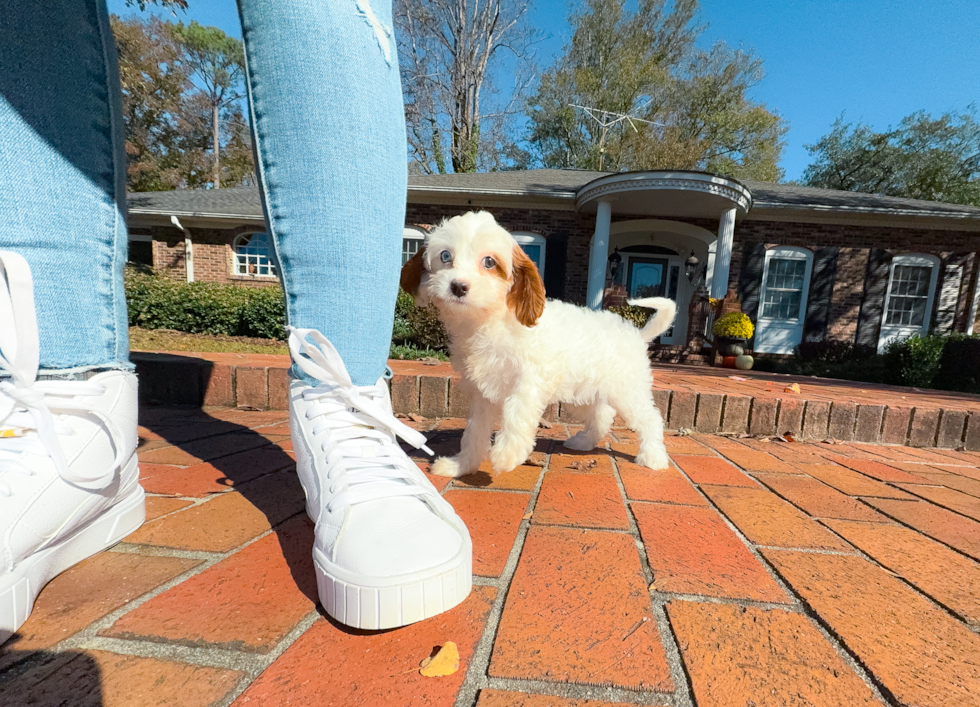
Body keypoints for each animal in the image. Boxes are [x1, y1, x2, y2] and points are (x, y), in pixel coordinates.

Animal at [402, 210, 676, 476]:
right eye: (445, 256)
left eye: (489, 262)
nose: (458, 286)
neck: (489, 320)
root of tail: (636, 334)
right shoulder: (482, 394)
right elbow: (474, 432)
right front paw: (461, 466)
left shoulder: (531, 380)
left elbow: (516, 411)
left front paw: (506, 454)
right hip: (582, 393)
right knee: (602, 415)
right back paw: (584, 442)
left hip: (627, 392)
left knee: (649, 418)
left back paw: (653, 458)